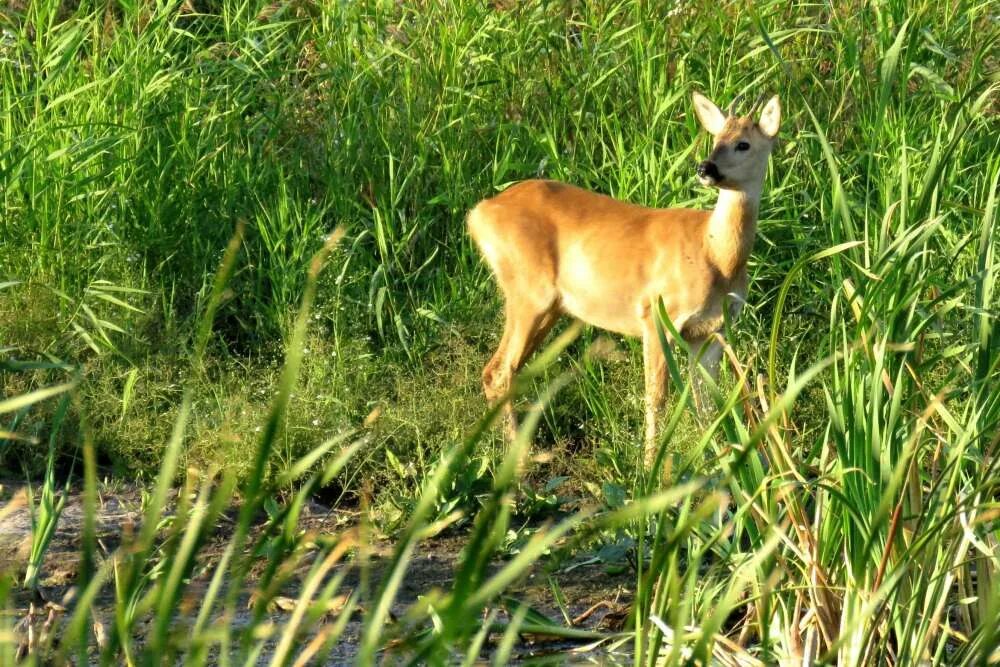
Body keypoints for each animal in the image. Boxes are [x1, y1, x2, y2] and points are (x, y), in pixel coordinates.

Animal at [468, 91, 780, 462]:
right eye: (716, 138)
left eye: (743, 143)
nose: (706, 168)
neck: (715, 253)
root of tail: (479, 213)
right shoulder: (656, 314)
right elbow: (656, 398)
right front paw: (650, 464)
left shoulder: (712, 330)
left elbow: (707, 402)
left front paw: (717, 461)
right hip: (529, 292)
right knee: (498, 370)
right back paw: (520, 458)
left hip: (550, 305)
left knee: (506, 371)